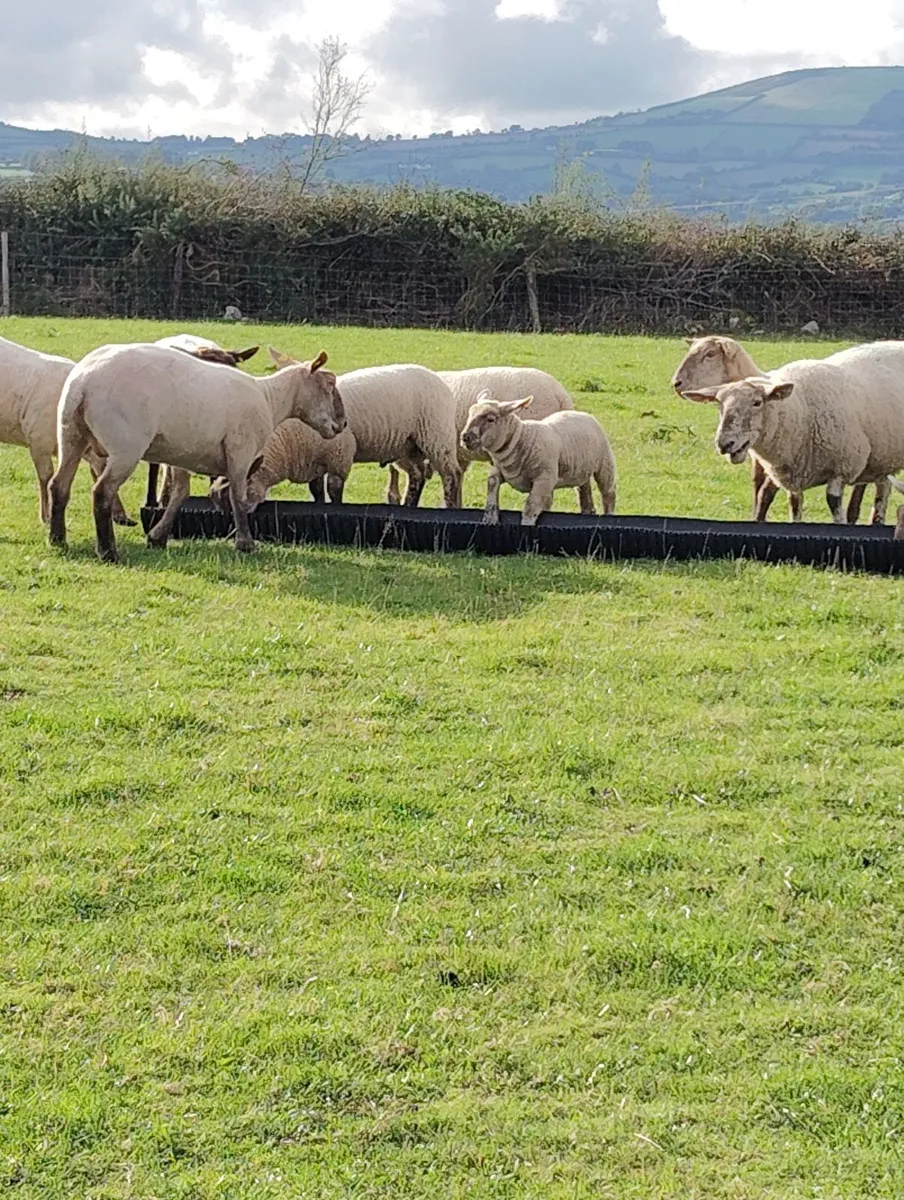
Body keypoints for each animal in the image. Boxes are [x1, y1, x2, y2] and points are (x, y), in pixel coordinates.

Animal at [268, 349, 462, 507]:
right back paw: (409, 505)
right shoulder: (316, 459)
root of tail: (438, 378)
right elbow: (317, 493)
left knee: (451, 475)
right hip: (408, 444)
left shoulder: (340, 456)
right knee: (417, 476)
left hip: (437, 437)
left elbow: (334, 491)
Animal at [460, 391, 616, 525]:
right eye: (470, 414)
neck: (521, 439)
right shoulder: (504, 472)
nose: (465, 437)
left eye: (491, 419)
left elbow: (530, 507)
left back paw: (609, 517)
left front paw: (526, 525)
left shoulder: (544, 480)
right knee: (585, 493)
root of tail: (581, 413)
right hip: (580, 471)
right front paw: (490, 517)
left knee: (608, 493)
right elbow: (492, 481)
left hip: (605, 463)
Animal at [672, 335, 899, 523]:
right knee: (882, 488)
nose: (676, 383)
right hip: (881, 458)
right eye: (720, 404)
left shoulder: (840, 468)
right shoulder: (784, 468)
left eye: (709, 354)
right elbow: (774, 497)